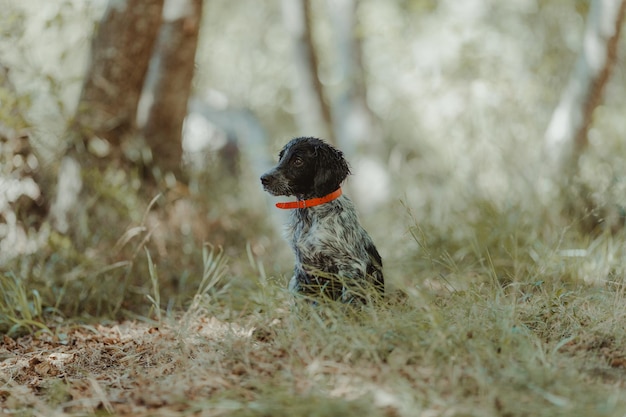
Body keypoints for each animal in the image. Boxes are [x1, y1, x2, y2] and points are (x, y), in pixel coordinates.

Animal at [260, 136, 386, 302]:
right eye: (281, 157)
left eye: (298, 161)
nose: (263, 179)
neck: (309, 216)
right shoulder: (303, 269)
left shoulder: (351, 265)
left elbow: (351, 300)